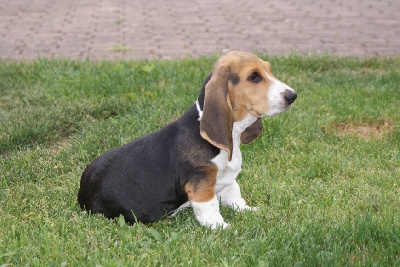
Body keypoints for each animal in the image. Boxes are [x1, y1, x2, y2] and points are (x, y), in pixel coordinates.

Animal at [79, 51, 296, 229]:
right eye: (253, 76)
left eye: (269, 70)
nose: (293, 95)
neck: (232, 136)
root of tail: (81, 194)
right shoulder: (201, 183)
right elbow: (210, 207)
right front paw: (222, 227)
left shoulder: (228, 178)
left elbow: (234, 193)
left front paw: (248, 211)